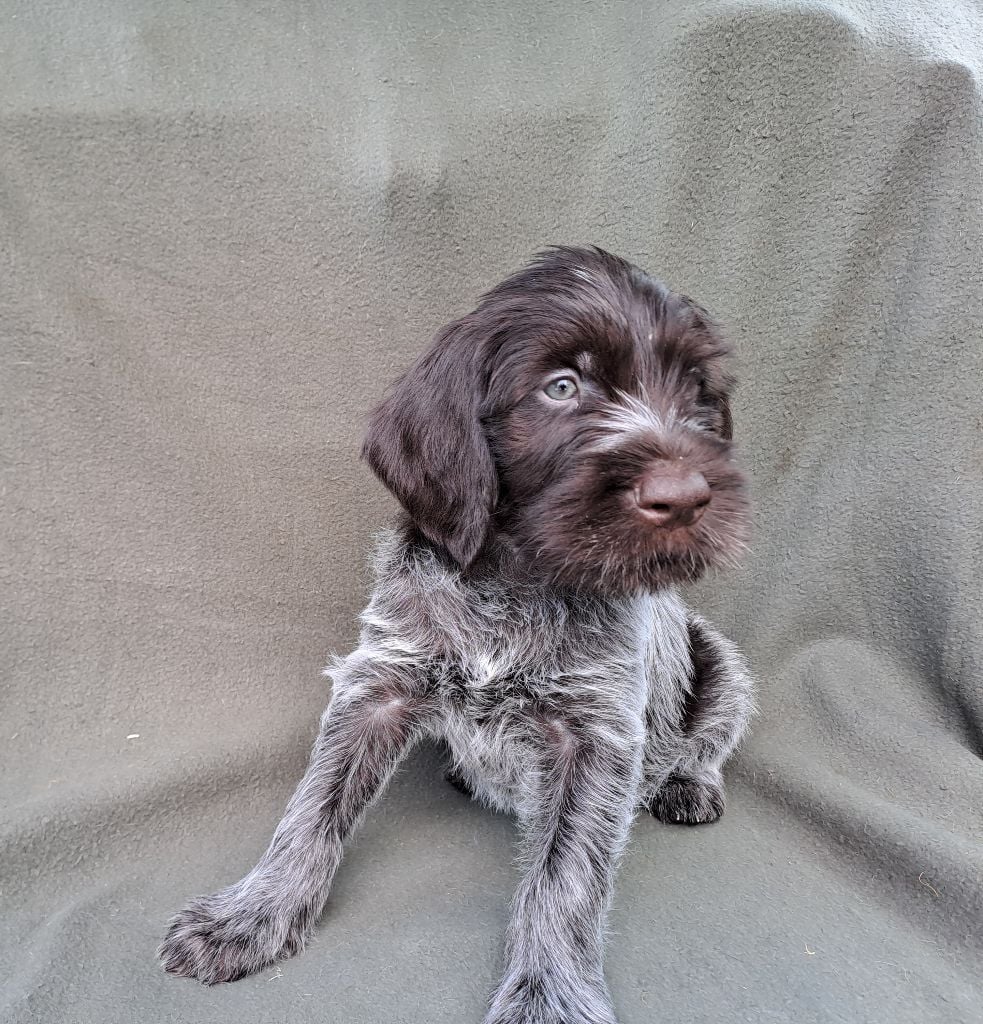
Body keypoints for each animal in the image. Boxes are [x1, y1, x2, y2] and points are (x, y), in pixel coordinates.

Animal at [159, 246, 755, 1024]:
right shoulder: (379, 683)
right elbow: (310, 810)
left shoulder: (595, 736)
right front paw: (252, 914)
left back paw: (689, 781)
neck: (518, 582)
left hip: (720, 661)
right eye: (561, 388)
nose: (684, 498)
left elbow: (565, 878)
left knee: (710, 733)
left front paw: (548, 998)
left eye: (696, 395)